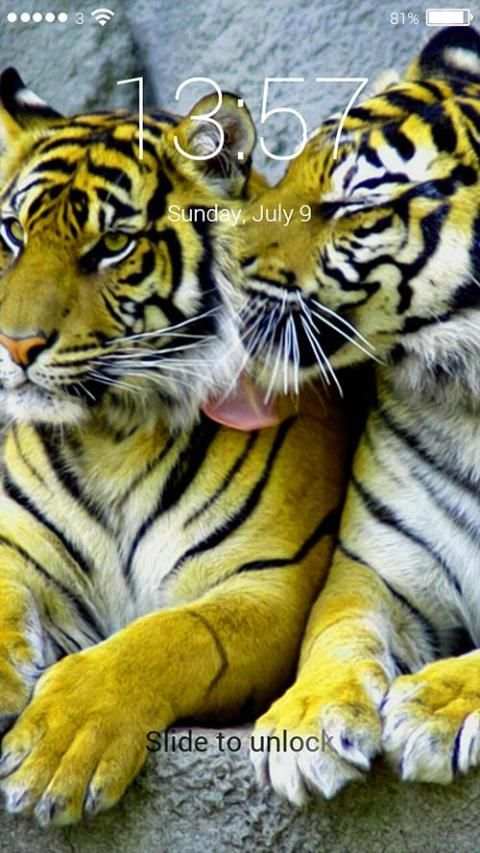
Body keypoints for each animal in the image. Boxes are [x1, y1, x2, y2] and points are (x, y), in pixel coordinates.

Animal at [0, 68, 350, 825]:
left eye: (113, 245)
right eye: (12, 233)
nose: (13, 346)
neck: (112, 433)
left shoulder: (268, 584)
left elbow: (166, 638)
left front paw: (59, 745)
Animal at [231, 25, 480, 804]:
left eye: (350, 207)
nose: (221, 255)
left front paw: (435, 705)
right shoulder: (375, 569)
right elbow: (334, 635)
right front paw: (304, 726)